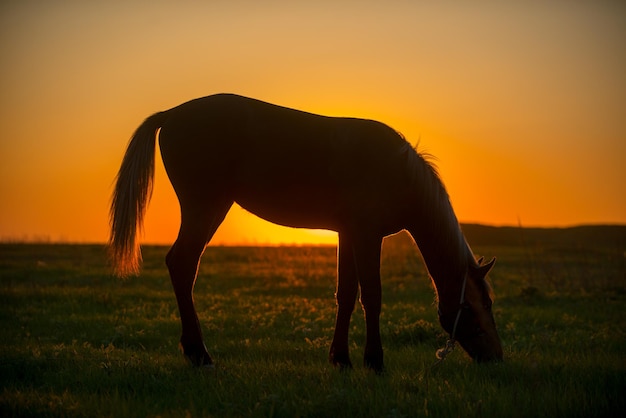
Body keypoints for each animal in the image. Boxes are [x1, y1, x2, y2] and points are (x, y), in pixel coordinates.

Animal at [108, 93, 502, 370]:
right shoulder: (367, 234)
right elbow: (372, 296)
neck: (397, 170)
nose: (497, 357)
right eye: (480, 306)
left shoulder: (348, 234)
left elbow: (346, 294)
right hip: (205, 208)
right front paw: (374, 361)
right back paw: (199, 354)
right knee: (182, 265)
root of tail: (172, 114)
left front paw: (341, 359)